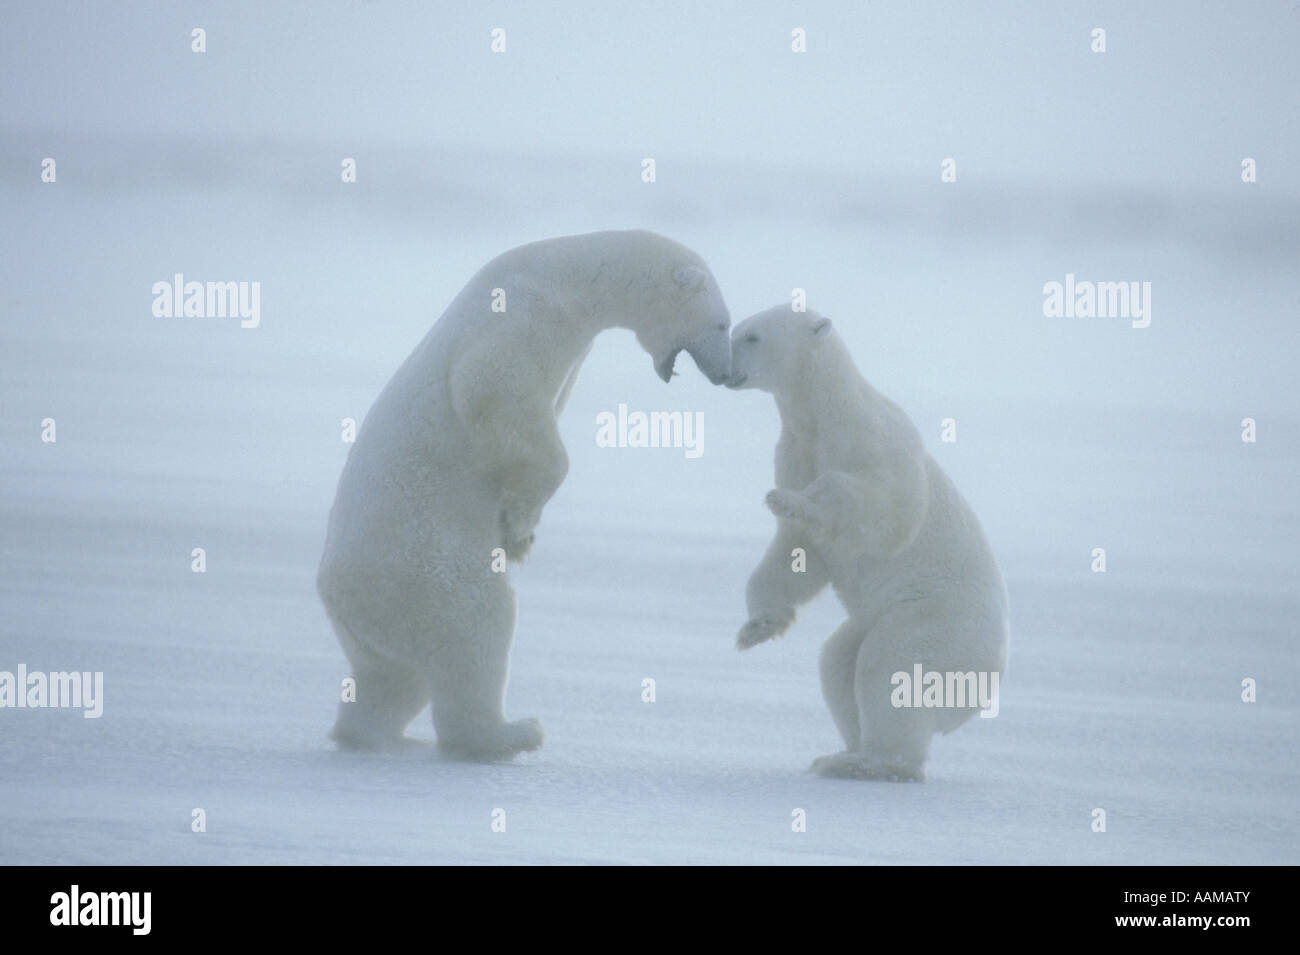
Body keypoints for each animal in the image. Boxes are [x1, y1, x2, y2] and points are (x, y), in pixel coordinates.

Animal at [317, 229, 733, 753]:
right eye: (722, 323)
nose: (726, 373)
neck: (562, 272)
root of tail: (339, 598)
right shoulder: (521, 319)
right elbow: (496, 394)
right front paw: (518, 530)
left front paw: (523, 527)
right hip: (422, 566)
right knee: (475, 628)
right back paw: (510, 733)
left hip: (373, 625)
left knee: (391, 676)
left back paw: (377, 734)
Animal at [728, 307, 1008, 784]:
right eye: (737, 331)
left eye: (752, 336)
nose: (722, 369)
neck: (824, 415)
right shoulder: (795, 454)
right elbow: (799, 554)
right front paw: (759, 627)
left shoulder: (874, 442)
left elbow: (886, 508)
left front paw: (790, 501)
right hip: (876, 619)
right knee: (838, 661)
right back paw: (842, 752)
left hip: (935, 620)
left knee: (891, 665)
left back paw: (871, 763)